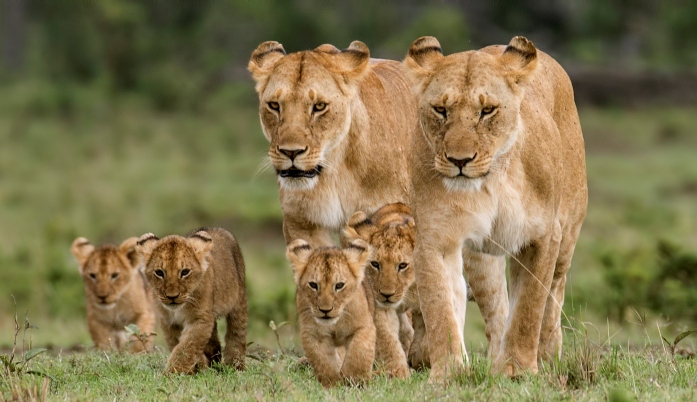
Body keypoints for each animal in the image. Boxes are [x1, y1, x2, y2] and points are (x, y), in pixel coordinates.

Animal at [135, 228, 247, 374]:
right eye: (159, 272)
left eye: (185, 272)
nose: (172, 297)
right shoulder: (169, 321)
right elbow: (180, 345)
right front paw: (200, 366)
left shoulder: (200, 318)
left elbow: (187, 346)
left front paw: (173, 372)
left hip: (239, 301)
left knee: (237, 333)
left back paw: (234, 366)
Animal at [286, 238, 376, 387]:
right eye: (313, 285)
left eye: (339, 285)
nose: (325, 310)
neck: (335, 323)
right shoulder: (315, 334)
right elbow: (324, 361)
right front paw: (333, 384)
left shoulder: (363, 327)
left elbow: (359, 353)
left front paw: (354, 382)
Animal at [404, 36, 588, 380]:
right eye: (440, 110)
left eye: (487, 110)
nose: (460, 160)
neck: (490, 182)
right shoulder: (435, 239)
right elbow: (440, 308)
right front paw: (449, 372)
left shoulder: (543, 237)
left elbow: (529, 307)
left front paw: (518, 368)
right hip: (481, 259)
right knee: (496, 309)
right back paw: (493, 360)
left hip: (568, 235)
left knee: (554, 294)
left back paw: (547, 354)